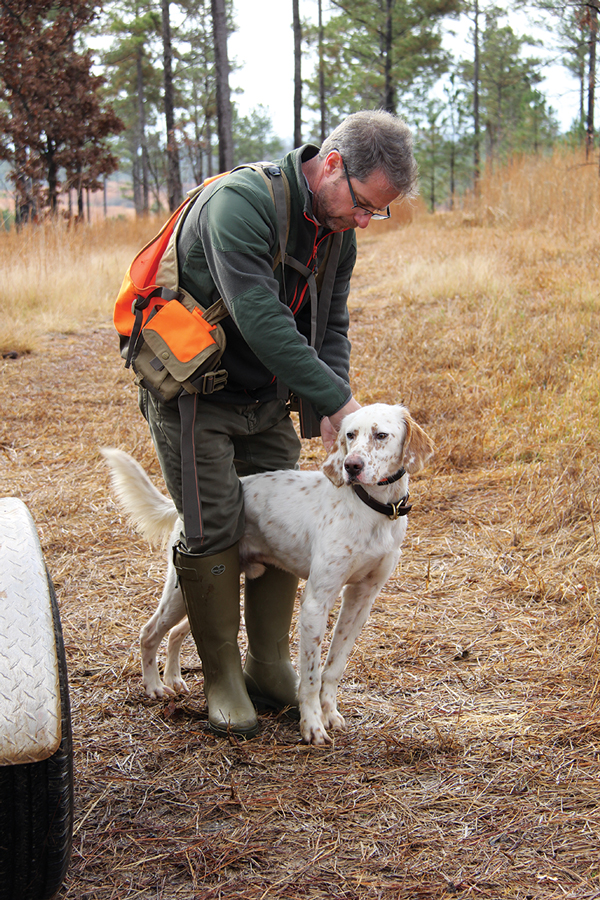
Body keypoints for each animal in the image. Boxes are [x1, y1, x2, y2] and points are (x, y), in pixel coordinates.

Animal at [102, 406, 432, 744]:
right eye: (350, 435)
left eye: (381, 435)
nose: (351, 466)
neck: (372, 508)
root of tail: (182, 511)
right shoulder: (316, 603)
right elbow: (311, 677)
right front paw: (312, 725)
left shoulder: (361, 599)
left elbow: (333, 667)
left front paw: (329, 714)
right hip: (181, 588)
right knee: (149, 632)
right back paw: (155, 687)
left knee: (180, 631)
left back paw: (174, 678)